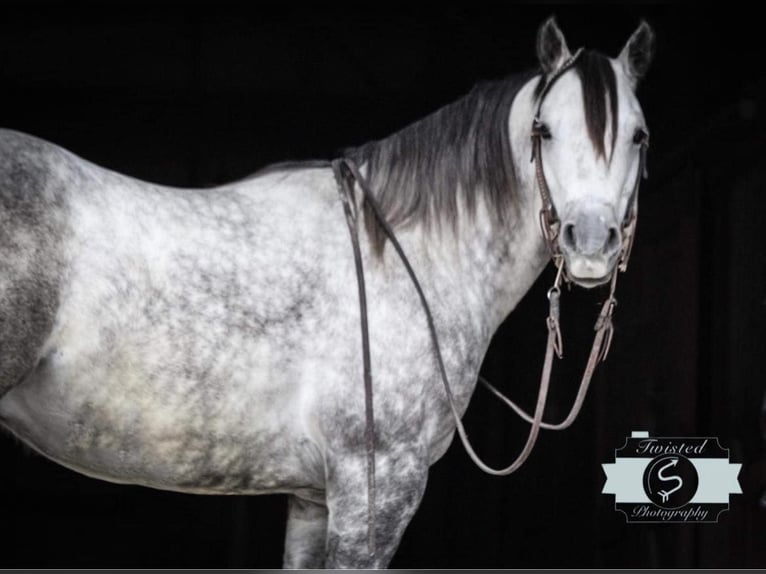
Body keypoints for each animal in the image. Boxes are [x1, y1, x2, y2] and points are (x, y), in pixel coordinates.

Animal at [0, 18, 656, 572]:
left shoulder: (315, 498)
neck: (403, 255)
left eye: (639, 137)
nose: (590, 241)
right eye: (545, 131)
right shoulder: (377, 487)